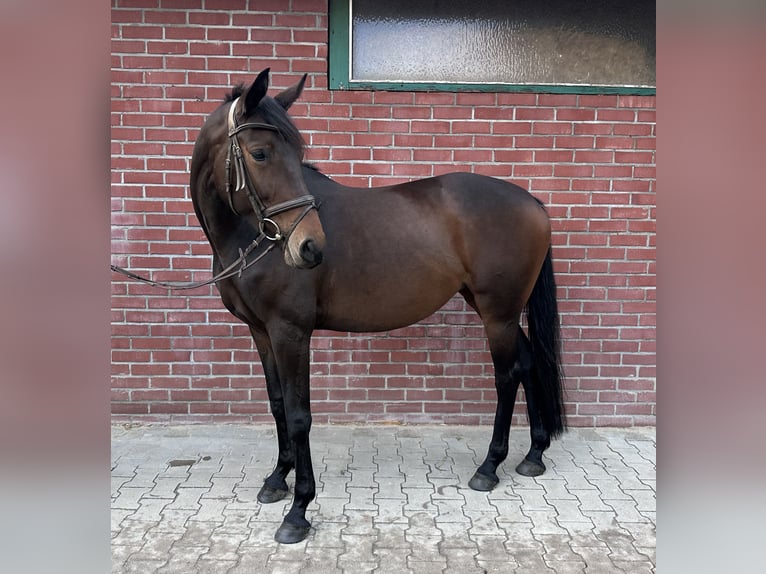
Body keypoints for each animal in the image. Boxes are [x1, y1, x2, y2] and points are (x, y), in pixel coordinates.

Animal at [189, 68, 566, 543]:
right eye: (259, 153)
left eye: (296, 154)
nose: (311, 247)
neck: (249, 237)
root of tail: (532, 202)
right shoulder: (261, 331)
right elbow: (277, 405)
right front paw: (277, 479)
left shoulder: (291, 331)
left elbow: (298, 415)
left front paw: (298, 510)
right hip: (497, 309)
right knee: (530, 362)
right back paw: (533, 454)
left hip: (497, 313)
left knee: (508, 375)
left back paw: (489, 466)